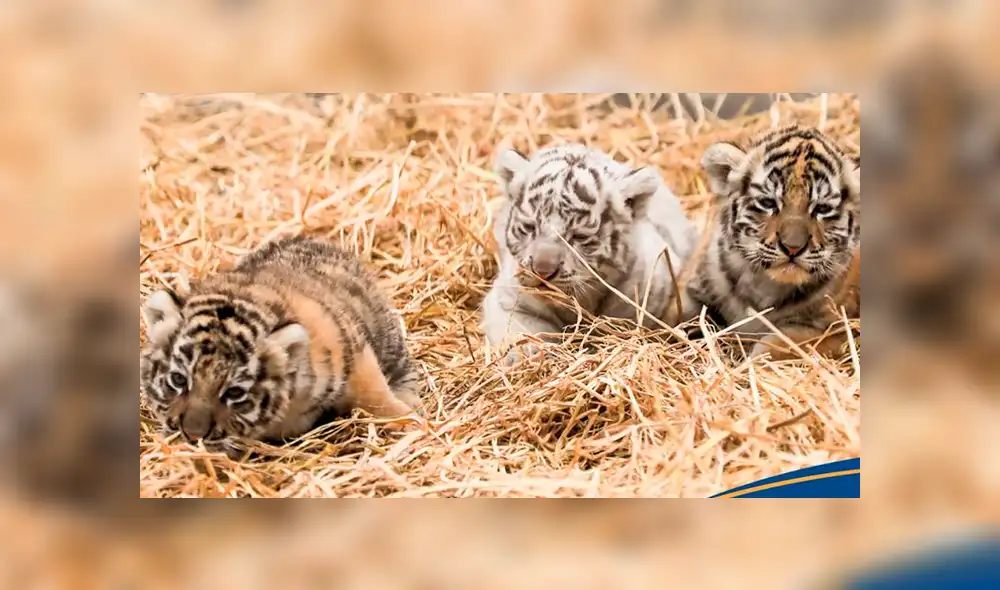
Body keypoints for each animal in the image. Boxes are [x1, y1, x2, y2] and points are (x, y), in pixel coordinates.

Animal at [139, 236, 423, 458]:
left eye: (234, 392)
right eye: (178, 379)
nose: (192, 435)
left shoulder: (353, 354)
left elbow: (376, 395)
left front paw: (411, 422)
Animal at [480, 142, 698, 364]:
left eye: (579, 236)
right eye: (529, 227)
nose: (542, 271)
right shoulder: (507, 300)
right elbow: (523, 331)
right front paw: (528, 355)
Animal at [685, 123, 861, 360]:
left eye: (822, 209)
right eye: (768, 203)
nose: (793, 248)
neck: (763, 285)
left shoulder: (837, 330)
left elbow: (776, 345)